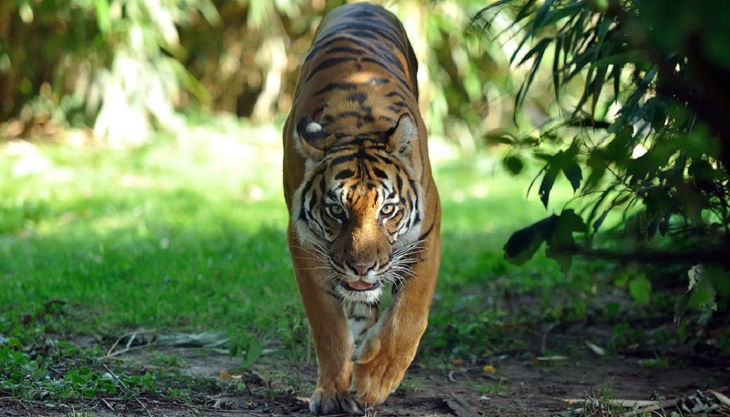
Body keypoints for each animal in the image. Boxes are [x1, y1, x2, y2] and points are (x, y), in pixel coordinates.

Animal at [282, 3, 441, 415]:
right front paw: (334, 392)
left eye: (387, 210)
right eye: (336, 211)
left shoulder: (427, 236)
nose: (361, 267)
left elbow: (408, 317)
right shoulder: (306, 245)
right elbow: (329, 327)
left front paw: (373, 381)